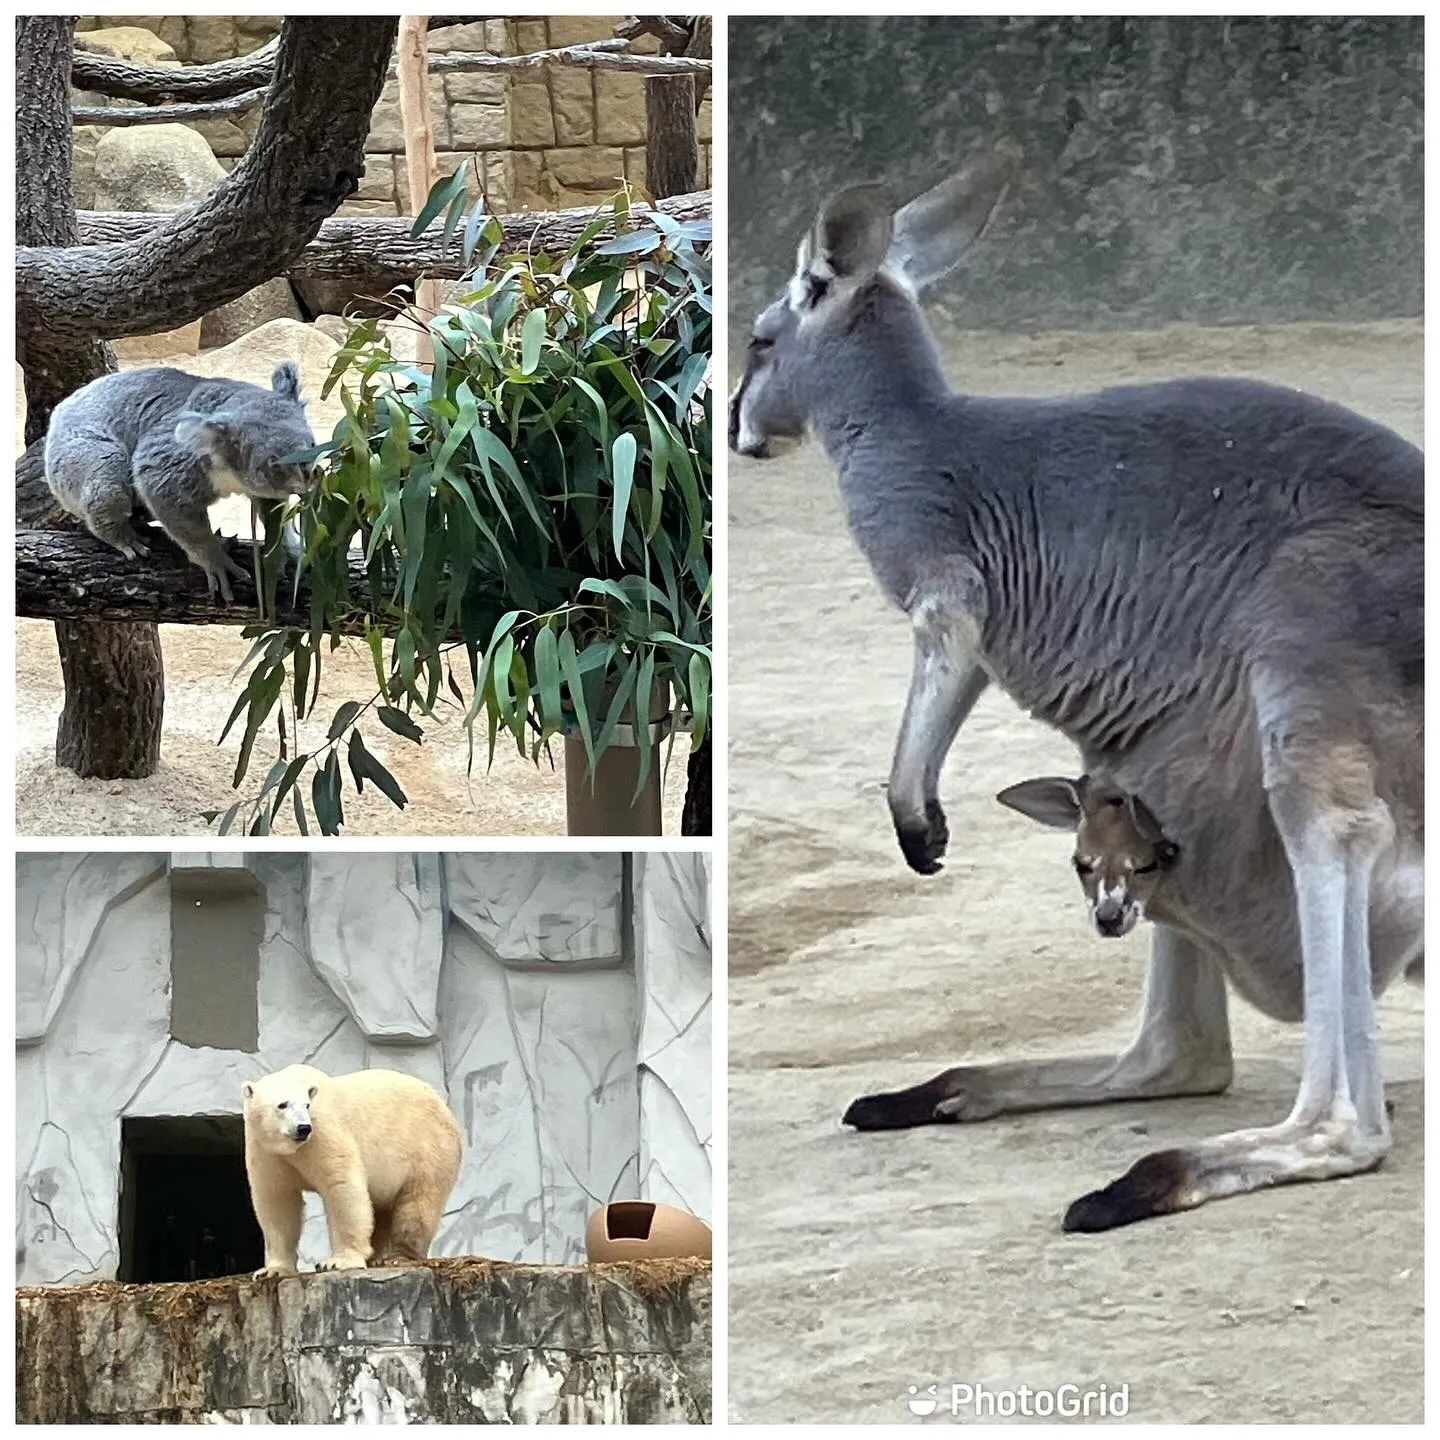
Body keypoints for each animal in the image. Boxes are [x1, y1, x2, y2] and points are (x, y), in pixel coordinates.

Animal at [239, 1065, 457, 1278]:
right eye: (282, 1105)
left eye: (307, 1105)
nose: (303, 1128)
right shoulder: (265, 1150)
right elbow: (278, 1200)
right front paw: (272, 1270)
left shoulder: (324, 1133)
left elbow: (341, 1186)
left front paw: (337, 1261)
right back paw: (377, 1257)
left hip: (428, 1149)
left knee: (417, 1203)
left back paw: (398, 1256)